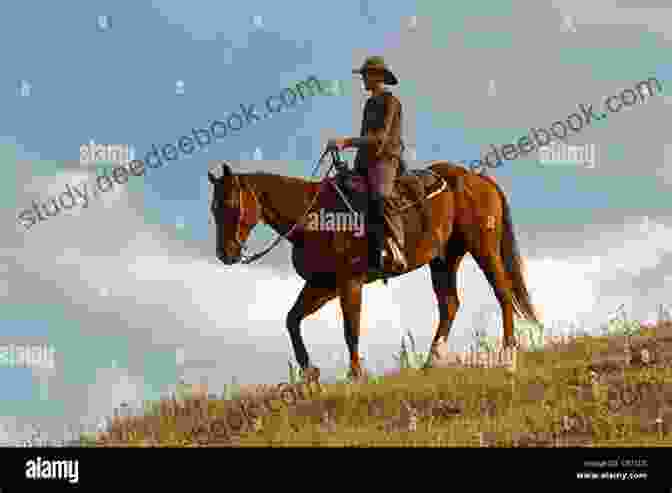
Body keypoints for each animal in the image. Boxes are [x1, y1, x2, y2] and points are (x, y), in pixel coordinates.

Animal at [207, 157, 544, 380]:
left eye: (231, 205)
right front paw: (310, 373)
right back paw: (430, 362)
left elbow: (350, 329)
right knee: (450, 305)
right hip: (443, 260)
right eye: (214, 208)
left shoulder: (349, 283)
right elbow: (292, 320)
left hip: (483, 249)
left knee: (502, 292)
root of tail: (479, 180)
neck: (313, 217)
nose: (226, 254)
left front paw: (355, 374)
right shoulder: (322, 286)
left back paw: (508, 353)